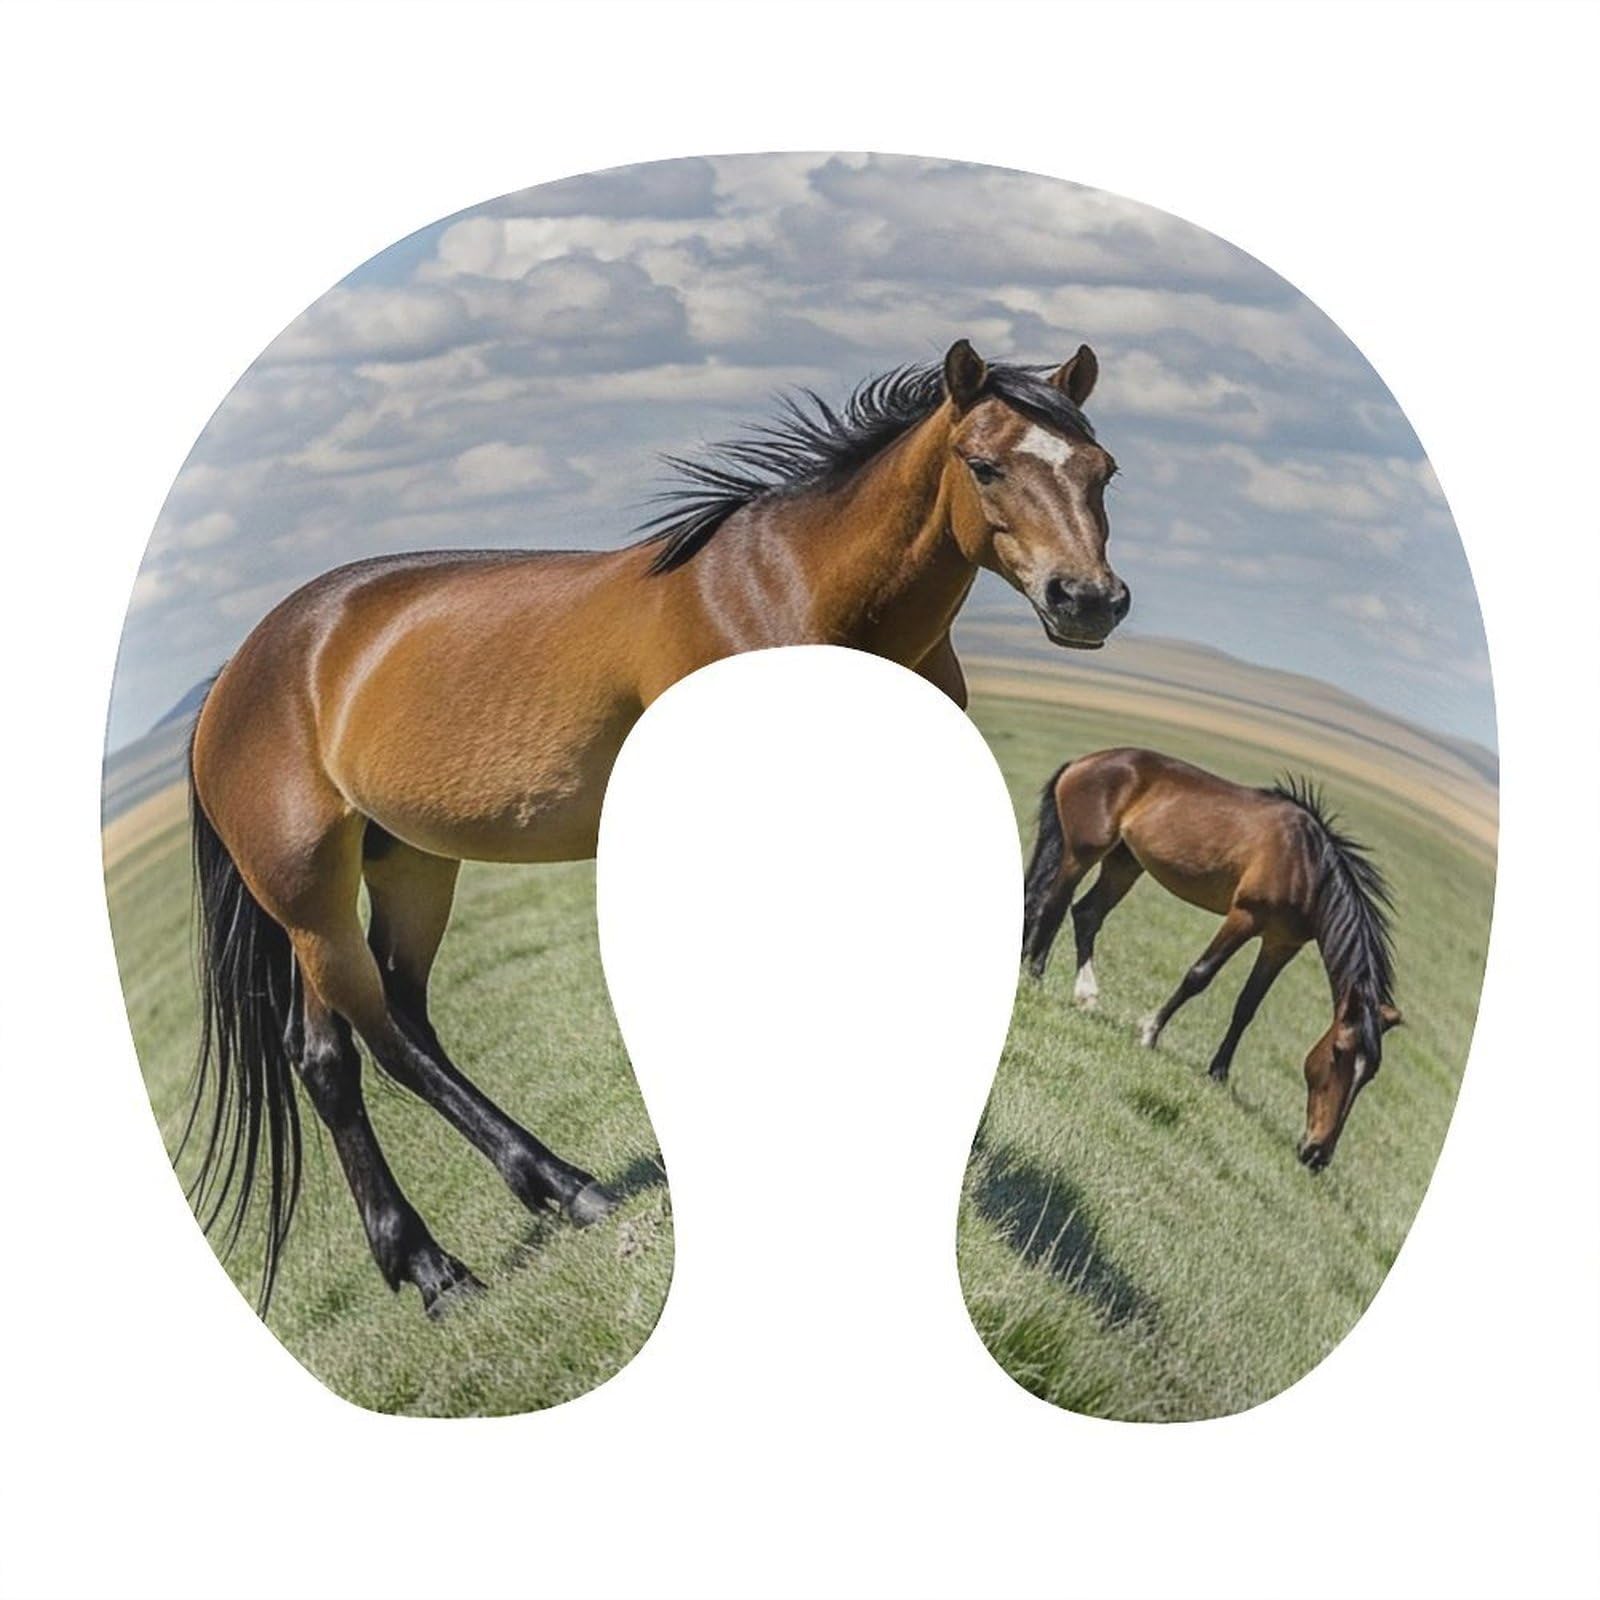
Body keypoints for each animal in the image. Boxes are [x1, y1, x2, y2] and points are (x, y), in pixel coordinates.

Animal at [184, 338, 1131, 1314]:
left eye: (1102, 470)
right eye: (984, 465)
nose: (1088, 600)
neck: (796, 599)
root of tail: (234, 679)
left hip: (403, 861)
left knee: (367, 1033)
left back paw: (542, 1195)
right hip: (308, 896)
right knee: (362, 1044)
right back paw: (443, 1262)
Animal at [1020, 748, 1401, 1170]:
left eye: (1370, 1074)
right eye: (1339, 1053)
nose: (1317, 1153)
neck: (1307, 866)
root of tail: (1084, 762)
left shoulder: (1280, 943)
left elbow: (1247, 1006)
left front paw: (1218, 1073)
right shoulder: (1245, 916)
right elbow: (1199, 975)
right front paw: (1149, 1031)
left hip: (1124, 862)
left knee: (1085, 915)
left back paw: (1084, 994)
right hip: (1081, 852)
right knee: (1052, 906)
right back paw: (1035, 975)